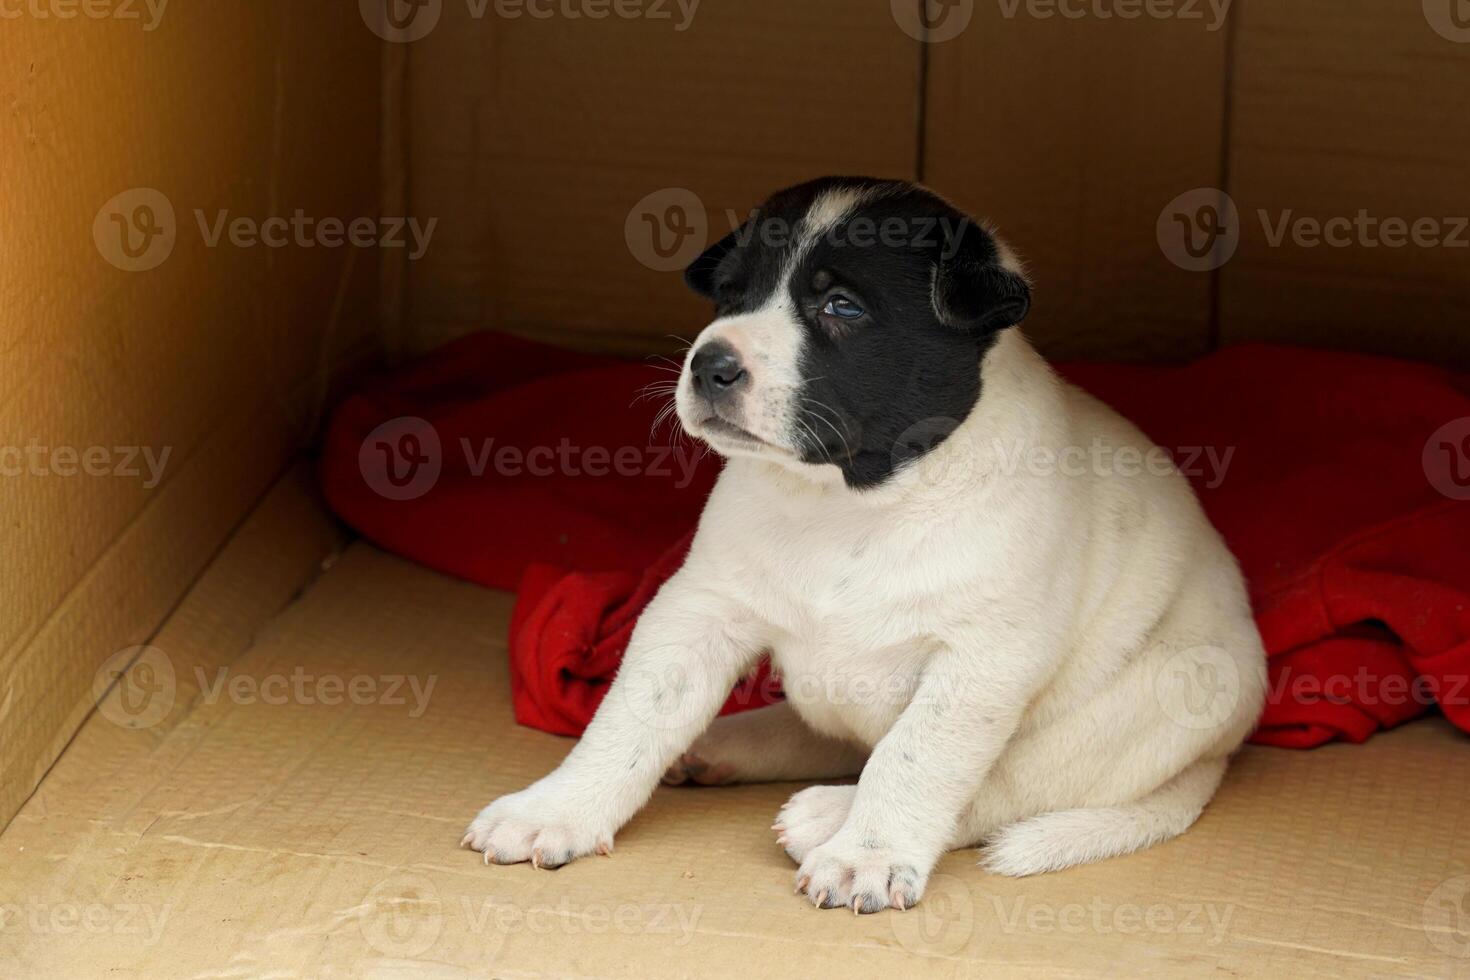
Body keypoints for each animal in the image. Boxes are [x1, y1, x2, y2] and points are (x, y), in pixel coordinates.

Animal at [464, 174, 1270, 910]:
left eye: (841, 307)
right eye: (729, 295)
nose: (709, 363)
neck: (852, 500)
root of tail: (1221, 753)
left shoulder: (981, 660)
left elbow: (915, 760)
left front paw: (866, 857)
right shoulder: (698, 607)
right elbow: (629, 716)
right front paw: (556, 810)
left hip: (1143, 704)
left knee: (1003, 784)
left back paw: (824, 816)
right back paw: (722, 746)